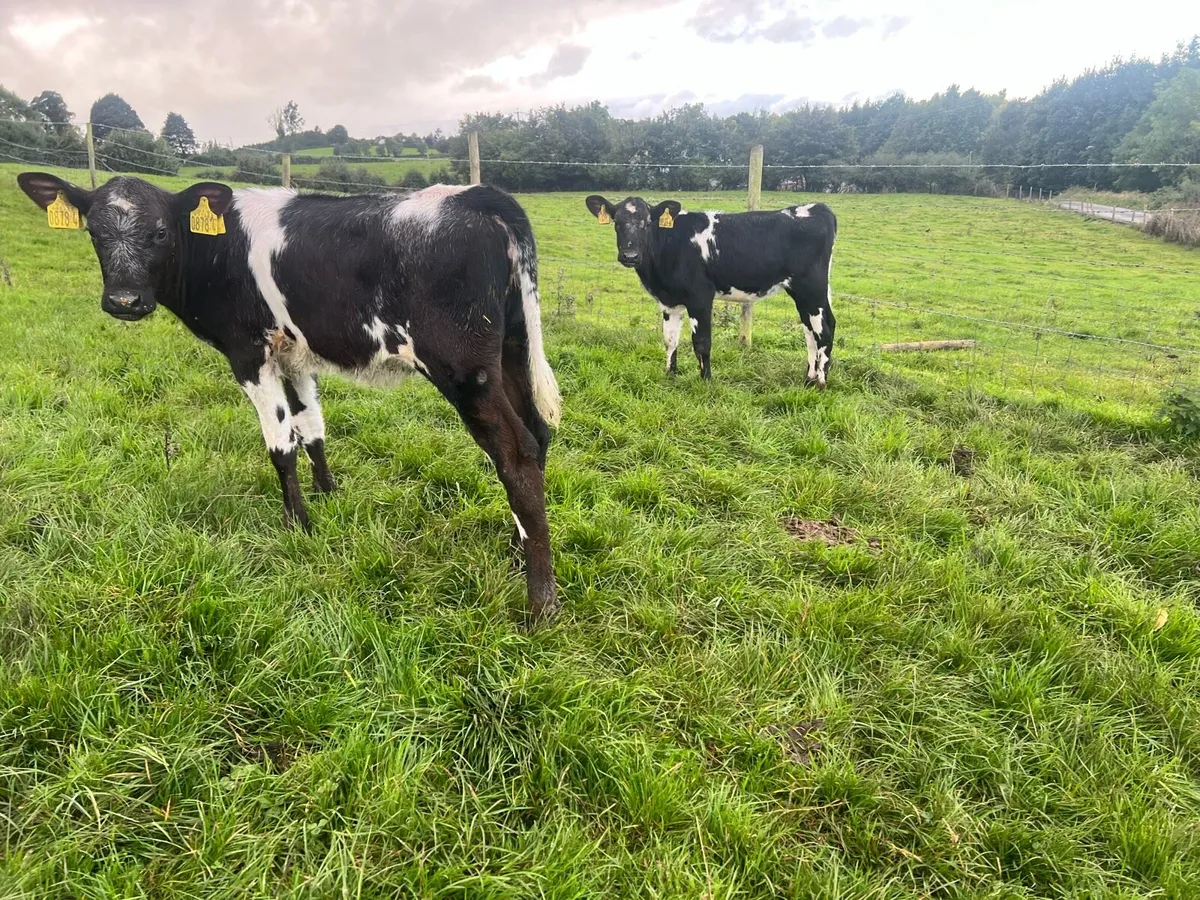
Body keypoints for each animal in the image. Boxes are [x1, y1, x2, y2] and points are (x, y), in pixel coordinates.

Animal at [18, 172, 563, 622]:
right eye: (93, 233)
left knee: (515, 452)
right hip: (510, 349)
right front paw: (327, 495)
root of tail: (476, 195)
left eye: (159, 233)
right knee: (538, 434)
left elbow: (280, 443)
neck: (216, 250)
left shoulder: (247, 352)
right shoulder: (296, 353)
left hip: (464, 368)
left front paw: (298, 523)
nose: (125, 301)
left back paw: (540, 604)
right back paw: (518, 546)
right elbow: (311, 427)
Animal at [585, 196, 837, 386]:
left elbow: (702, 342)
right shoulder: (669, 301)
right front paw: (670, 375)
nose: (630, 256)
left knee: (824, 329)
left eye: (647, 223)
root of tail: (817, 207)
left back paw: (821, 382)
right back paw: (808, 378)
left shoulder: (700, 296)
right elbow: (670, 340)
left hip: (811, 287)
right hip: (802, 293)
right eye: (616, 222)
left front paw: (706, 380)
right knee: (810, 332)